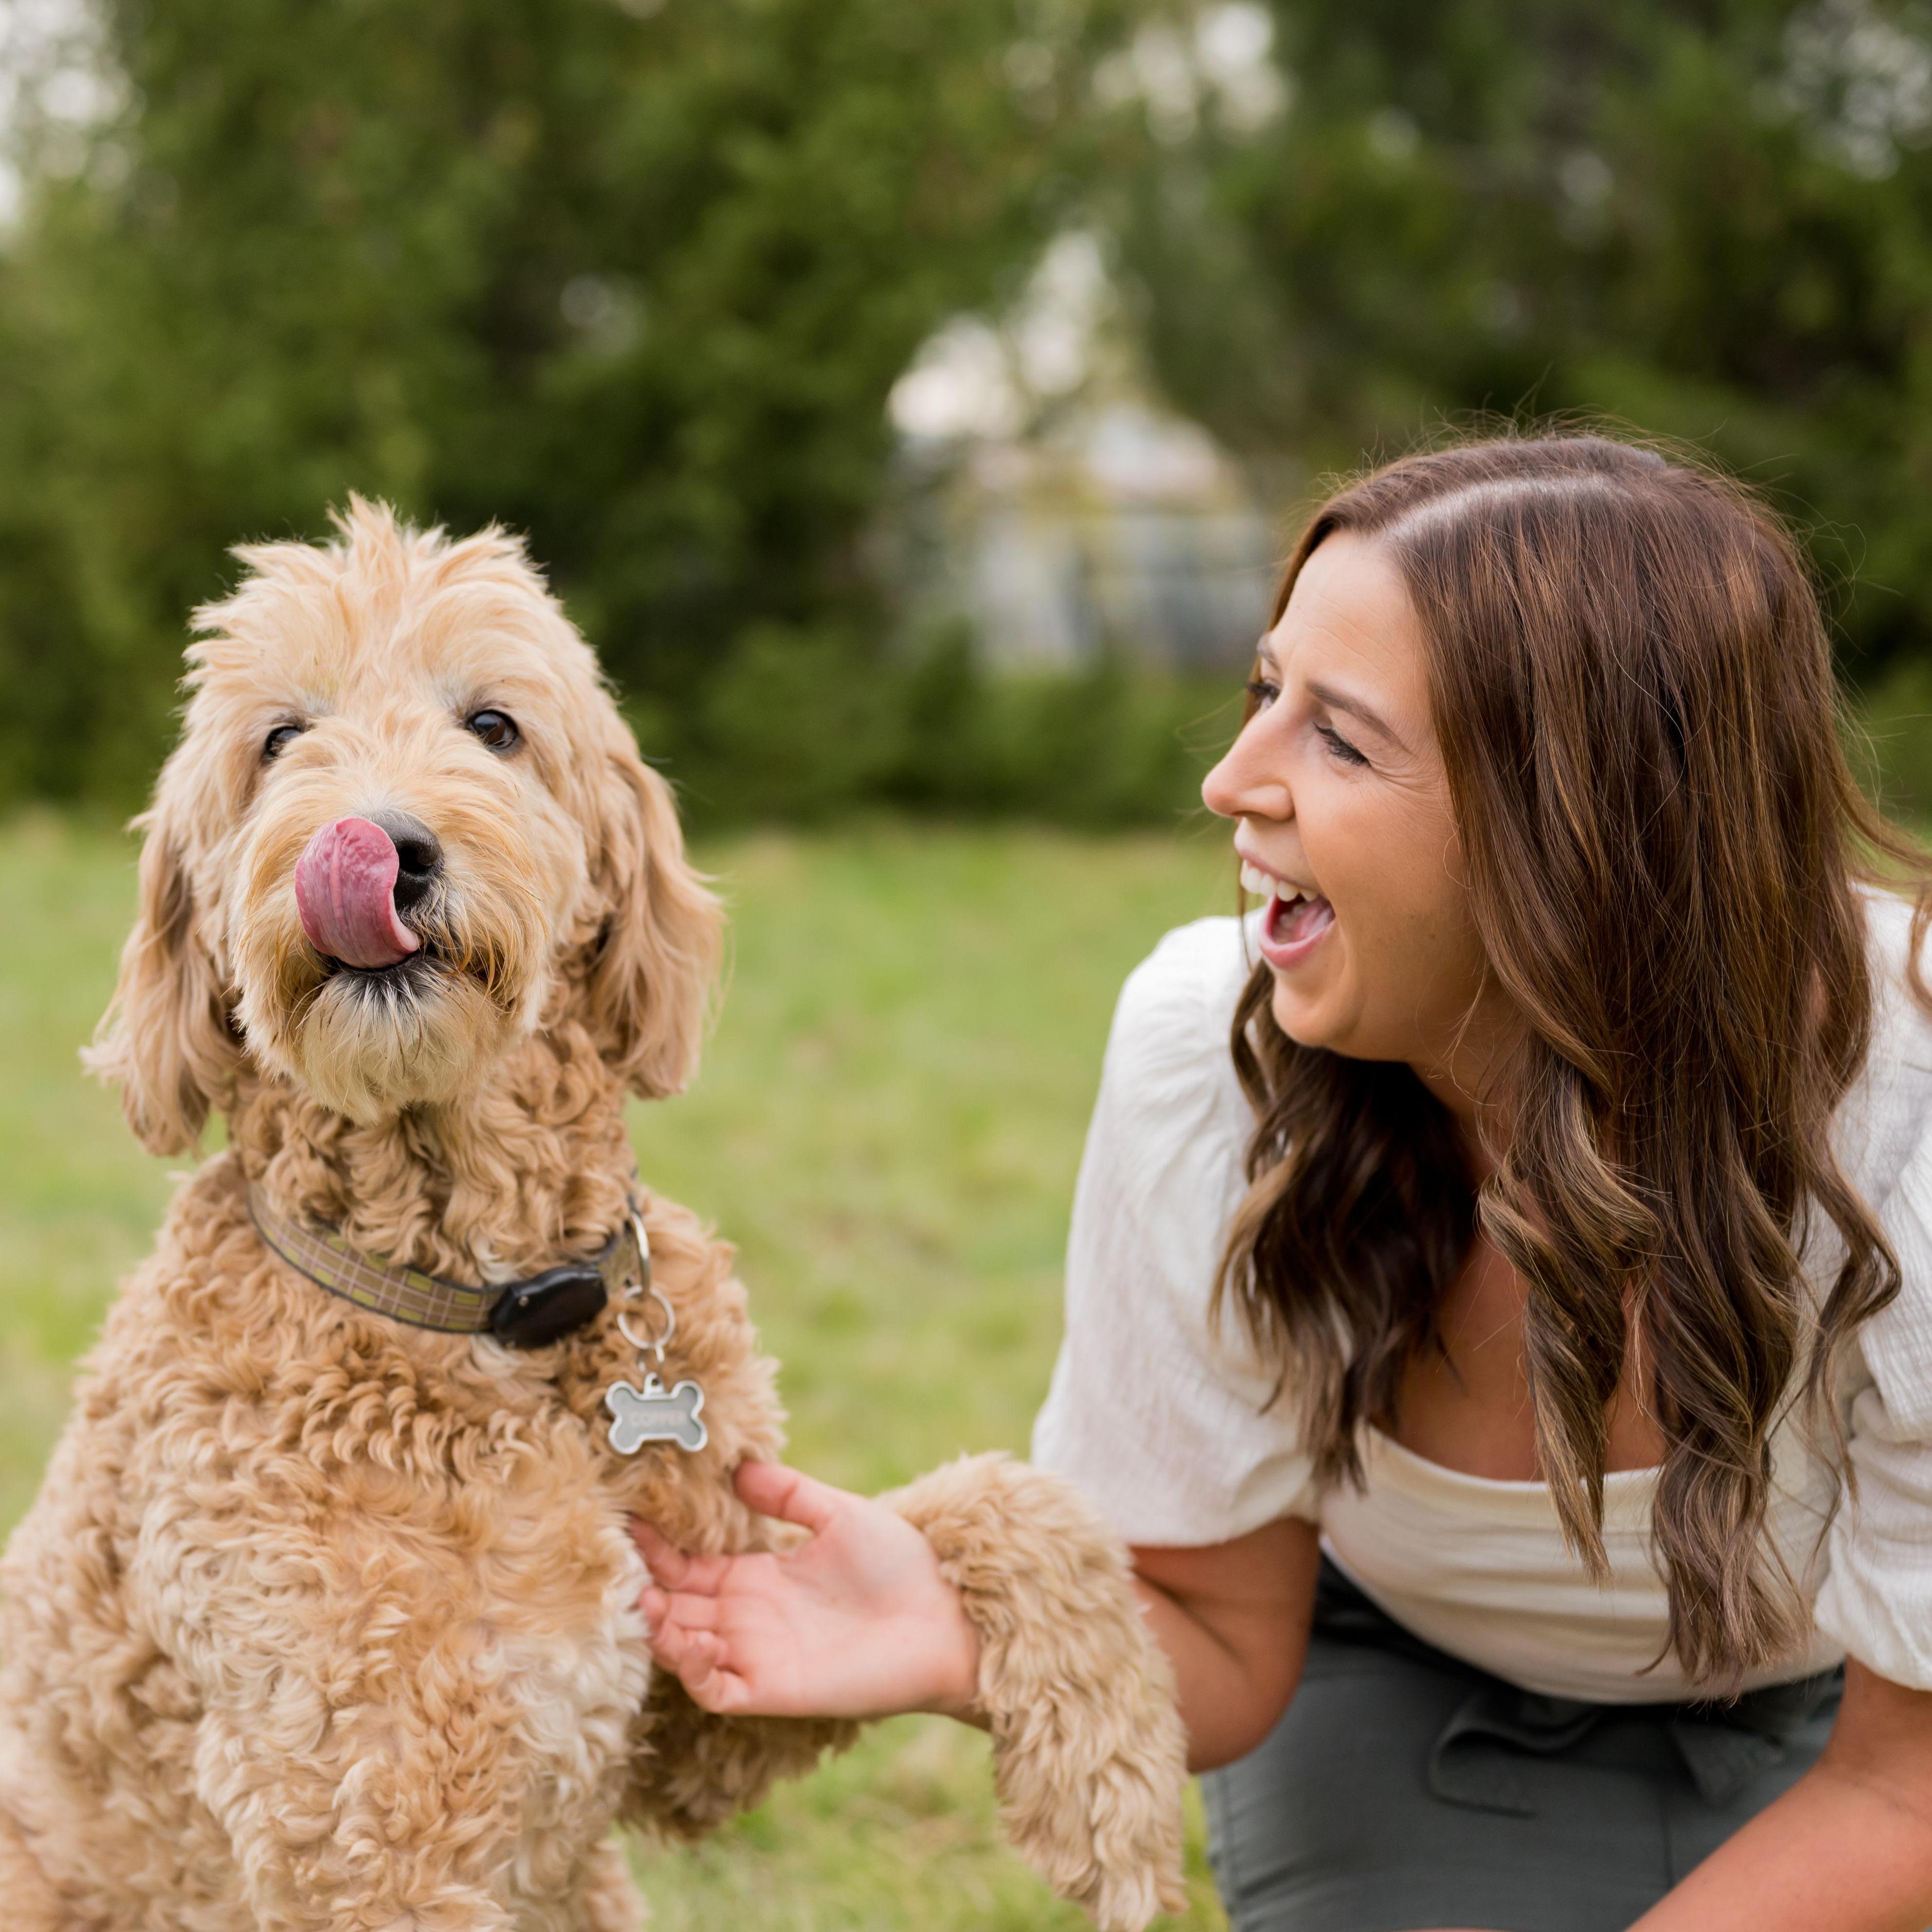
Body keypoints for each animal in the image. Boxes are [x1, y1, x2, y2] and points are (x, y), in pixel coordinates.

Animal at [0, 502, 1182, 1932]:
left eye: (493, 726)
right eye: (282, 738)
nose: (381, 844)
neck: (494, 1314)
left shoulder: (708, 1676)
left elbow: (1007, 1502)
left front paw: (1115, 1777)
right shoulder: (370, 1820)